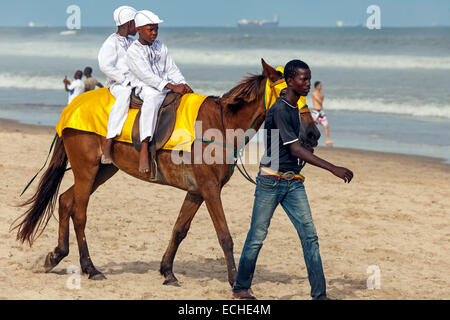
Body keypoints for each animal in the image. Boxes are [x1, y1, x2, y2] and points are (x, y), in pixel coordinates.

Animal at [11, 59, 320, 284]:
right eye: (287, 94)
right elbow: (224, 236)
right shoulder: (210, 189)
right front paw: (235, 281)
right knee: (80, 213)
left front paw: (167, 271)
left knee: (65, 200)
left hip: (103, 169)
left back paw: (56, 255)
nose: (312, 134)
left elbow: (179, 229)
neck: (220, 125)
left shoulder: (197, 191)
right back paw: (90, 267)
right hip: (87, 169)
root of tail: (71, 108)